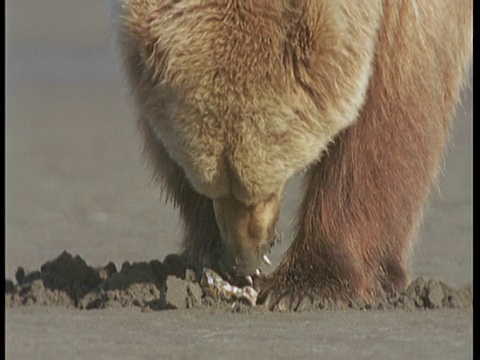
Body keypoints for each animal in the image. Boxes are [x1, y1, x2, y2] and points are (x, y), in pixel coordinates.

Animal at [109, 0, 472, 310]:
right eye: (215, 184)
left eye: (259, 185)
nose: (244, 261)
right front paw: (205, 254)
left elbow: (389, 104)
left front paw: (304, 286)